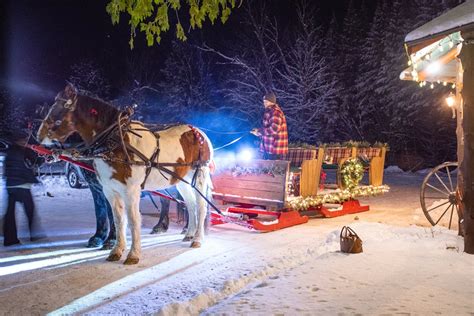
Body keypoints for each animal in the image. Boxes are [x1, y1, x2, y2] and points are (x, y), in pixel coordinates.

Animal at [38, 84, 214, 264]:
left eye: (58, 113)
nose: (39, 136)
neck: (115, 141)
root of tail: (198, 132)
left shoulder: (130, 190)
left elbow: (133, 219)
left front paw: (133, 254)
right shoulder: (109, 190)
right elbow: (118, 219)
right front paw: (116, 250)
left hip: (200, 176)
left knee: (201, 206)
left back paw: (197, 239)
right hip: (182, 180)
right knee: (190, 205)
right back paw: (189, 234)